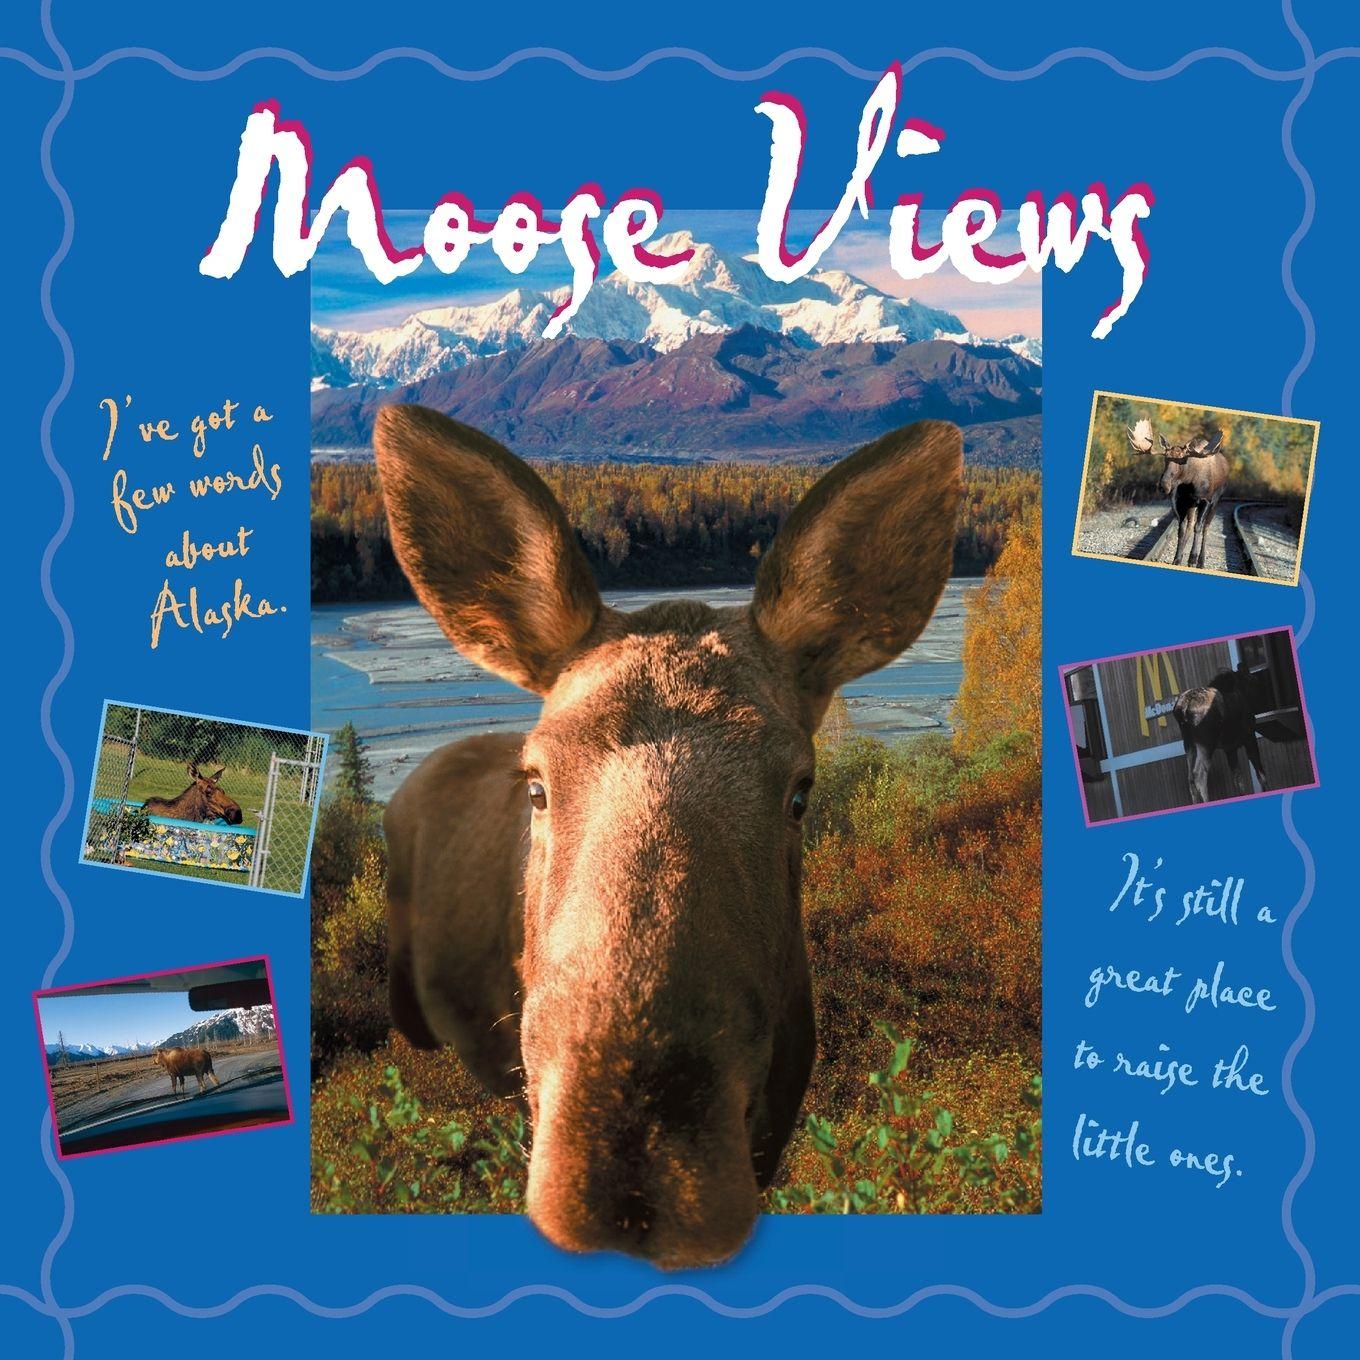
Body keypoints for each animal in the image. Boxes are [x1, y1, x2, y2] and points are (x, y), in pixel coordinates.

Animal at [1126, 418, 1228, 569]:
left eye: (1182, 460)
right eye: (1165, 458)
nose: (1164, 485)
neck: (1190, 483)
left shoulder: (1206, 500)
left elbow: (1199, 527)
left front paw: (1192, 559)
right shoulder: (1181, 501)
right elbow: (1181, 529)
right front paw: (1177, 558)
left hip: (1216, 501)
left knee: (1205, 527)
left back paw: (1201, 561)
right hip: (1192, 504)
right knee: (1190, 524)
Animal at [1172, 663, 1269, 804]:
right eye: (1254, 681)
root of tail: (1182, 708)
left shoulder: (1230, 748)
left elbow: (1238, 778)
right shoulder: (1249, 737)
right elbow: (1261, 774)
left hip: (1189, 743)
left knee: (1190, 778)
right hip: (1206, 743)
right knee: (1199, 775)